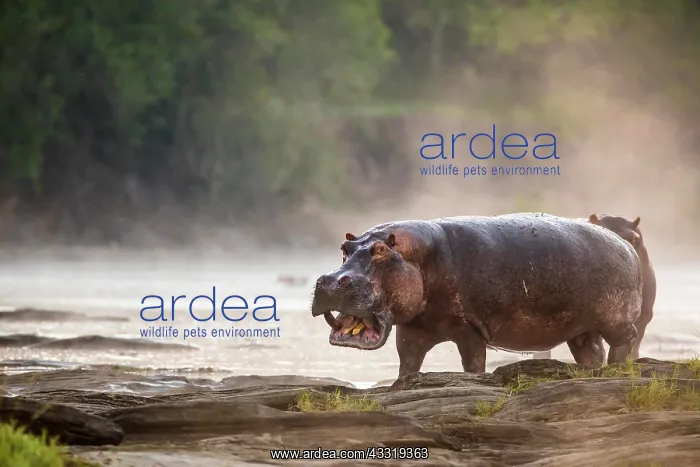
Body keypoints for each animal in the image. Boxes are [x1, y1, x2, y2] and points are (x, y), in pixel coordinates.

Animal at [310, 212, 644, 378]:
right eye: (344, 247)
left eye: (380, 250)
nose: (331, 280)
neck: (418, 255)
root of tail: (626, 245)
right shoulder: (413, 329)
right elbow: (407, 364)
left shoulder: (468, 327)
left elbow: (472, 364)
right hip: (580, 329)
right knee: (591, 352)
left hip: (614, 320)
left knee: (628, 338)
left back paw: (619, 367)